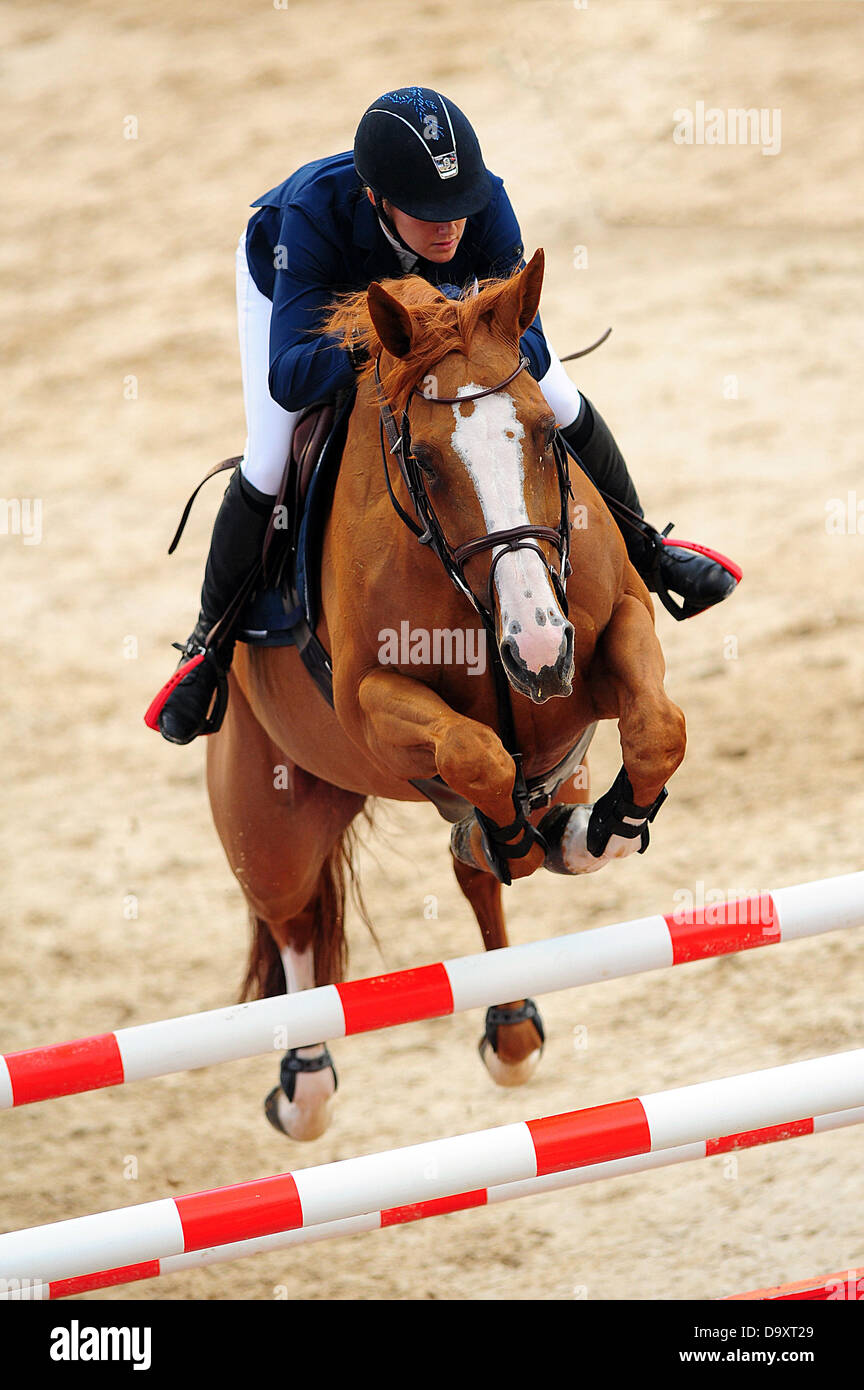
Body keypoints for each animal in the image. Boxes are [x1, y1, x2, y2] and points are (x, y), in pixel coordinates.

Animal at [206, 250, 686, 1139]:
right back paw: (303, 1080)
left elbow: (656, 729)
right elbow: (474, 752)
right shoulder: (369, 703)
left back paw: (518, 1001)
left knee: (490, 864)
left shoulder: (614, 634)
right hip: (271, 818)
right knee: (294, 921)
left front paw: (614, 822)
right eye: (424, 462)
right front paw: (517, 836)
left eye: (545, 434)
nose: (537, 649)